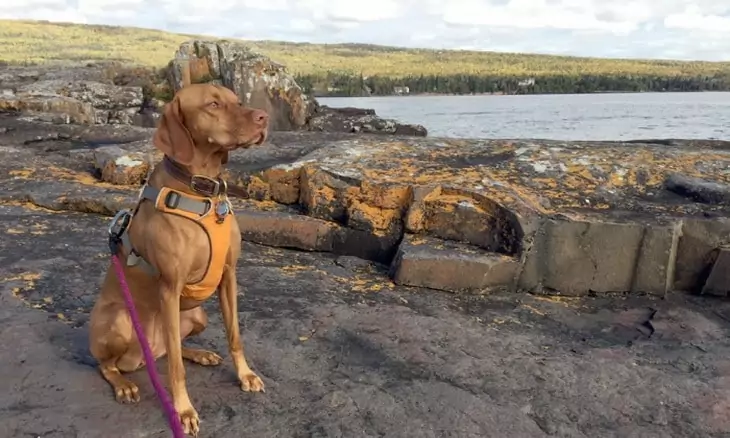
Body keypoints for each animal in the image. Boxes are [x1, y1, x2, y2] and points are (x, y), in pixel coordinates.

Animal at [88, 82, 268, 434]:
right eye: (213, 104)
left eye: (237, 100)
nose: (263, 117)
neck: (204, 193)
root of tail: (143, 355)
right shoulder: (170, 288)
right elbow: (174, 369)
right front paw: (183, 411)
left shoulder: (229, 275)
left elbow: (235, 336)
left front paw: (245, 375)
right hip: (120, 319)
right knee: (110, 365)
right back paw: (124, 385)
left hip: (198, 315)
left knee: (173, 348)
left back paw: (199, 353)